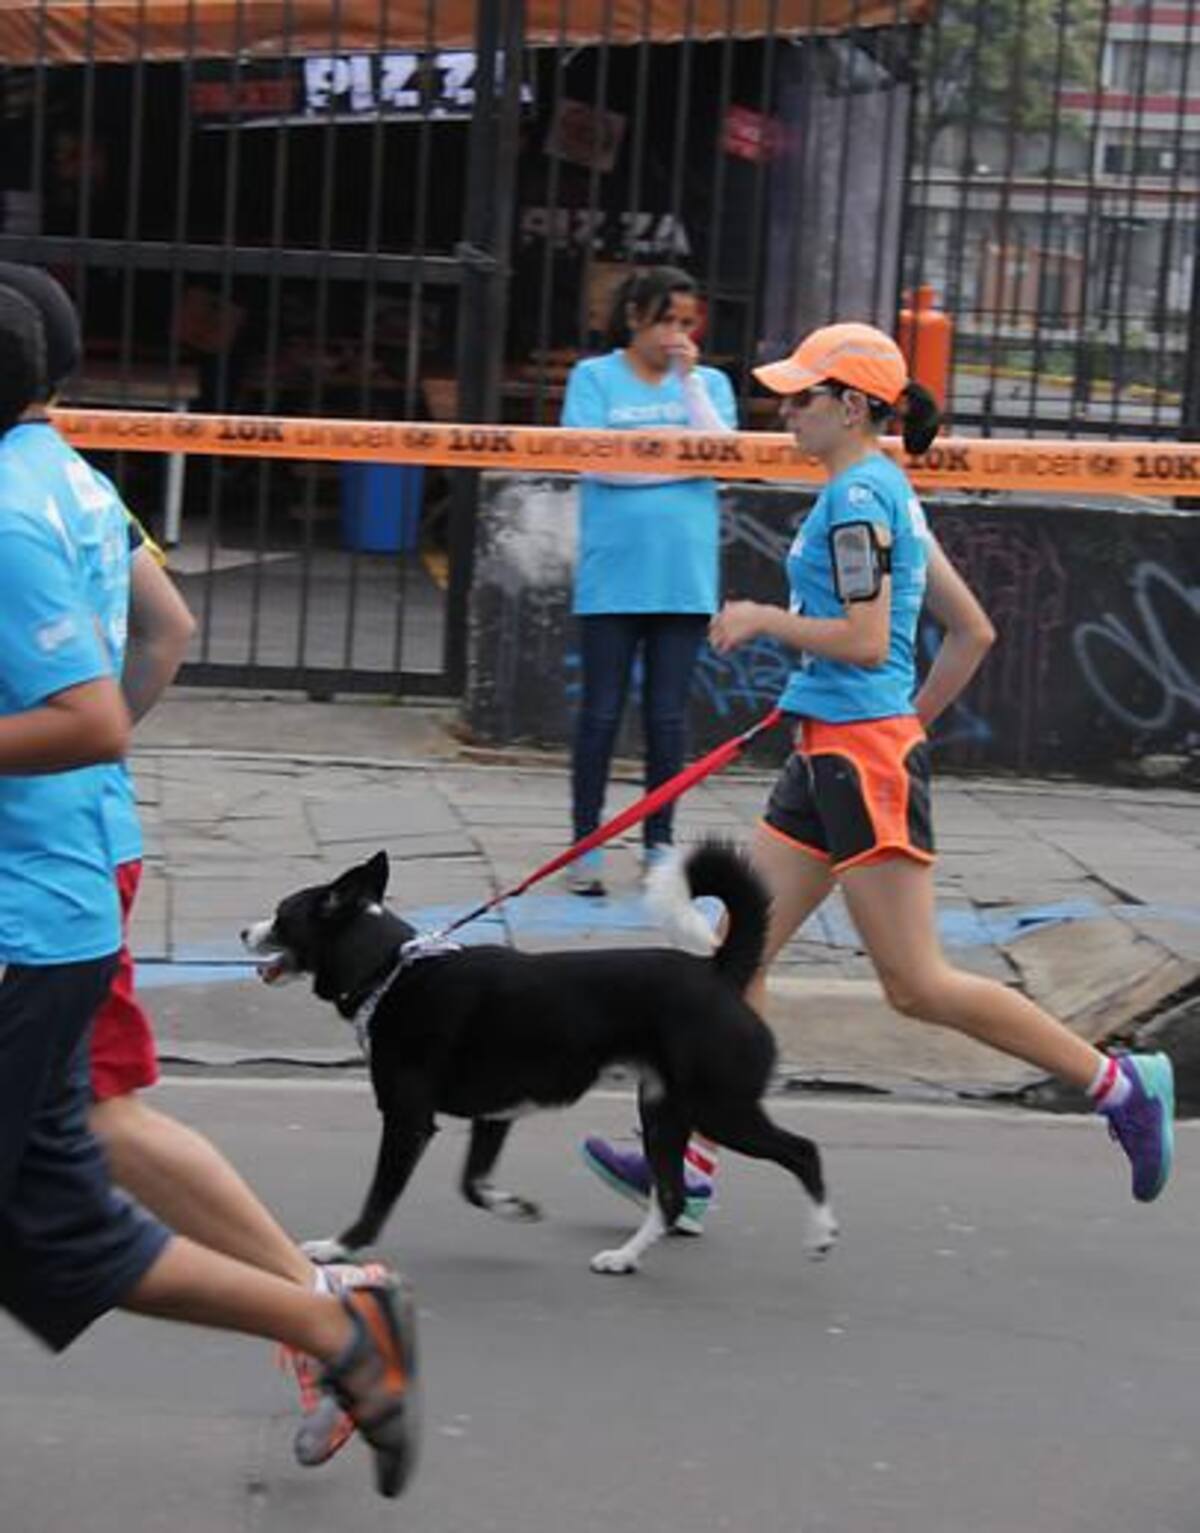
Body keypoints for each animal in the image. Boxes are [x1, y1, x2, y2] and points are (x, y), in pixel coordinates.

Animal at [241, 840, 837, 1274]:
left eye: (281, 914)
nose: (244, 930)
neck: (389, 968)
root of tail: (719, 974)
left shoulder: (408, 1119)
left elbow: (380, 1197)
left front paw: (338, 1247)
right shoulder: (493, 1116)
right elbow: (472, 1185)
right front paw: (514, 1207)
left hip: (719, 1107)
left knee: (803, 1151)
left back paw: (823, 1234)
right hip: (663, 1111)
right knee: (667, 1196)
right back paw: (623, 1258)